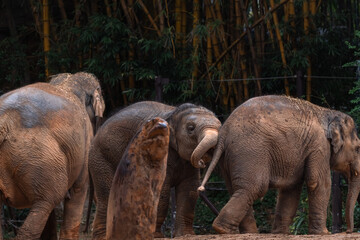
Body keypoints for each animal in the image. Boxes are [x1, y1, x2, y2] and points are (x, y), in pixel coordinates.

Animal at [0, 72, 105, 239]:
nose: (86, 230)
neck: (67, 83)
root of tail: (4, 121)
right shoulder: (85, 140)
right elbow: (79, 189)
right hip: (40, 156)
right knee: (47, 201)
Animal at [88, 101, 221, 238]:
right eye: (191, 128)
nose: (202, 162)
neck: (174, 113)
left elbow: (190, 189)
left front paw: (186, 235)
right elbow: (163, 190)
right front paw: (157, 236)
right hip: (100, 157)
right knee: (106, 196)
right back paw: (102, 236)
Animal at [198, 95, 360, 234]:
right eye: (358, 148)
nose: (348, 231)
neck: (328, 113)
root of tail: (223, 132)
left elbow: (291, 188)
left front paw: (280, 233)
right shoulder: (319, 145)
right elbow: (318, 183)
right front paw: (323, 233)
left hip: (229, 157)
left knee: (237, 189)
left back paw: (245, 232)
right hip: (249, 151)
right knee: (254, 187)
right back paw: (224, 230)